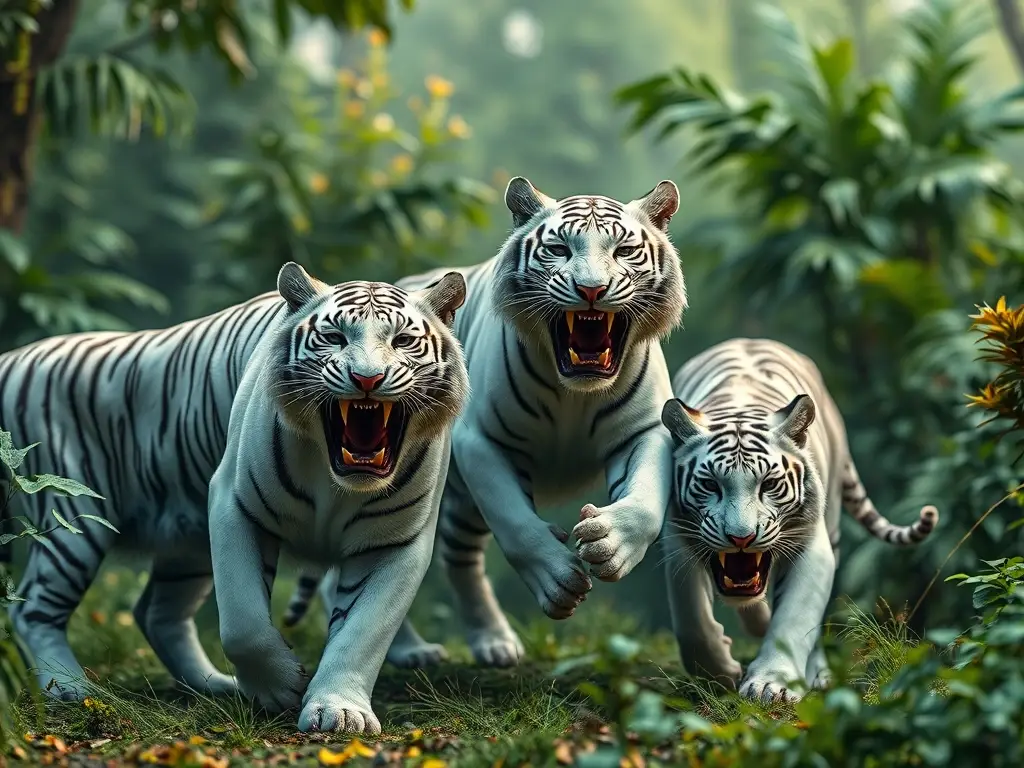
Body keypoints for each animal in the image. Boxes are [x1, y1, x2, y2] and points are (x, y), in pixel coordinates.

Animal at [0, 262, 468, 734]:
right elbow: (243, 623)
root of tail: (16, 356)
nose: (367, 379)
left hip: (185, 544)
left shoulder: (396, 543)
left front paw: (339, 711)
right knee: (33, 608)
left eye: (402, 341)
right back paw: (71, 689)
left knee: (158, 614)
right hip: (72, 515)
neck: (339, 483)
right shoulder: (235, 505)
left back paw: (215, 685)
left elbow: (363, 632)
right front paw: (280, 685)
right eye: (335, 337)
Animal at [284, 177, 687, 670]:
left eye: (624, 250)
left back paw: (491, 641)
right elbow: (514, 520)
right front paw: (557, 579)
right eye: (559, 249)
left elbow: (646, 501)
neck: (577, 391)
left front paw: (611, 546)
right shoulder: (481, 441)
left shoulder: (644, 431)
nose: (591, 289)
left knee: (460, 562)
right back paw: (413, 649)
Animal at [660, 338, 938, 701]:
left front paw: (769, 684)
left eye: (768, 485)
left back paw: (816, 672)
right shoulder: (678, 542)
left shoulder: (811, 545)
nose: (741, 538)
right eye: (710, 485)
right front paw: (718, 672)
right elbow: (690, 619)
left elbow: (795, 616)